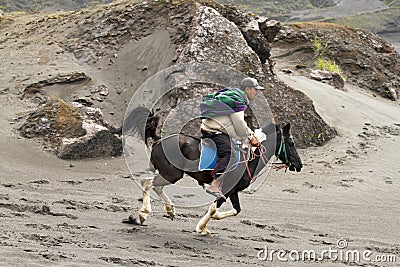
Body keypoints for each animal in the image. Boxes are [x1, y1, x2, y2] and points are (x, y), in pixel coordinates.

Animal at [123, 108, 302, 236]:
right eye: (291, 143)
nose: (299, 165)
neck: (249, 158)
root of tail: (159, 140)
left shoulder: (233, 191)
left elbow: (236, 210)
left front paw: (209, 222)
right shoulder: (226, 190)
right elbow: (214, 209)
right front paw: (202, 227)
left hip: (170, 174)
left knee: (154, 186)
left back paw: (169, 211)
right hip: (172, 174)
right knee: (147, 183)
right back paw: (144, 214)